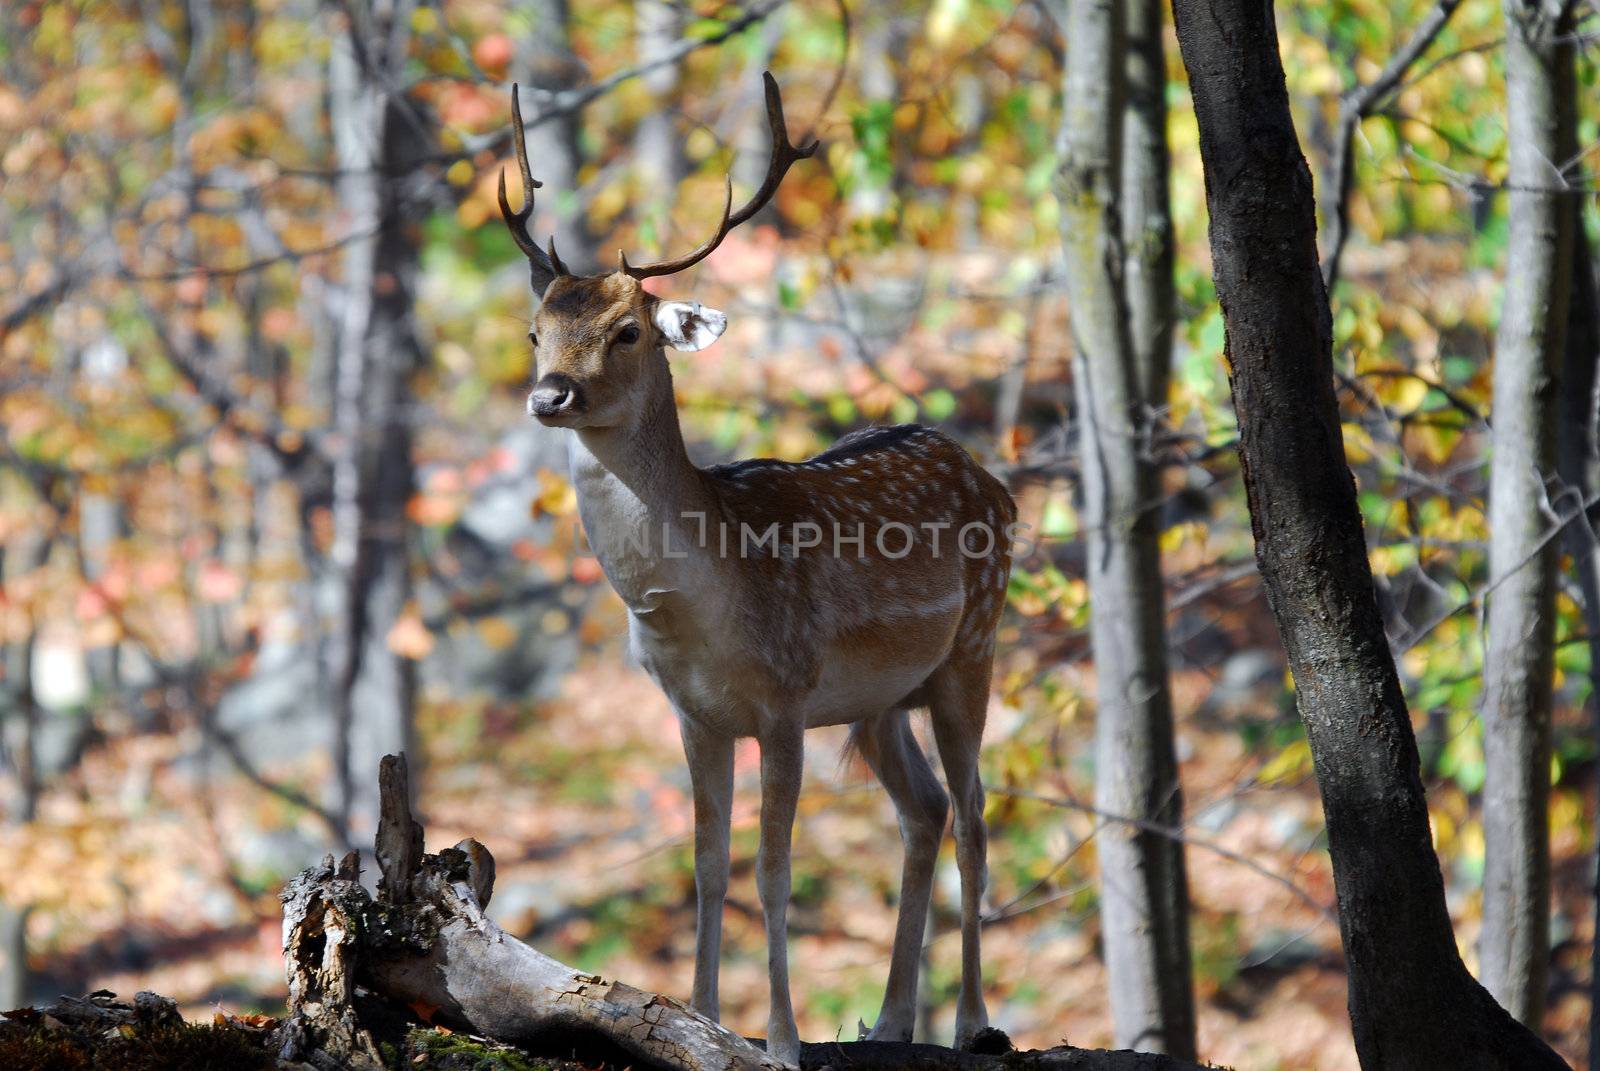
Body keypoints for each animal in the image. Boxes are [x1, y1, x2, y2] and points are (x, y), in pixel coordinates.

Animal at [499, 73, 1011, 1062]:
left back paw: (972, 1020)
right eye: (538, 330)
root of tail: (990, 475)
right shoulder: (694, 713)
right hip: (882, 698)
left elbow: (775, 868)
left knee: (972, 812)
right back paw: (894, 1016)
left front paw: (780, 1037)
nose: (550, 394)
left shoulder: (784, 696)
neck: (702, 604)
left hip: (974, 645)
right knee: (925, 808)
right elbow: (708, 865)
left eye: (628, 331)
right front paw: (701, 1014)